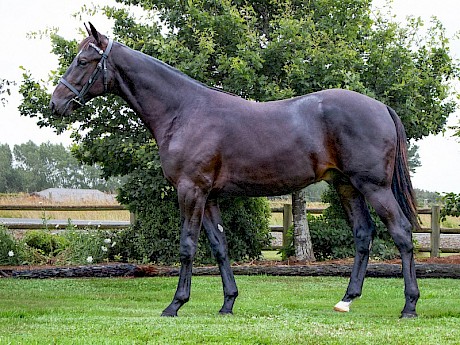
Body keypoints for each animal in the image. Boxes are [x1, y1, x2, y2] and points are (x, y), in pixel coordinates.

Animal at [49, 22, 420, 316]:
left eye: (83, 61)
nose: (56, 103)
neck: (184, 110)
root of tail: (381, 107)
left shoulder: (191, 190)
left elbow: (187, 245)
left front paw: (175, 304)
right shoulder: (209, 196)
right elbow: (219, 246)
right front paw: (228, 302)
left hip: (373, 186)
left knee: (401, 232)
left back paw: (409, 306)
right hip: (346, 185)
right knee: (364, 234)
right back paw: (346, 300)